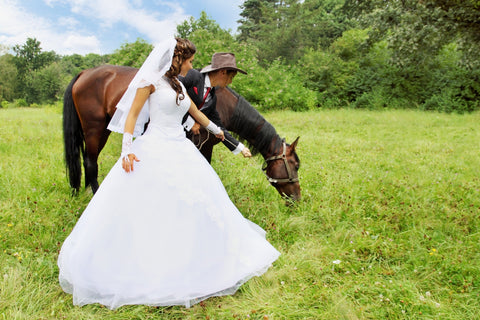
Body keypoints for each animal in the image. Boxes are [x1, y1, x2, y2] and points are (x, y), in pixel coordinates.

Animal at [61, 64, 298, 200]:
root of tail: (85, 73)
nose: (297, 199)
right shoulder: (204, 145)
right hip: (94, 128)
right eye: (295, 165)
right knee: (91, 162)